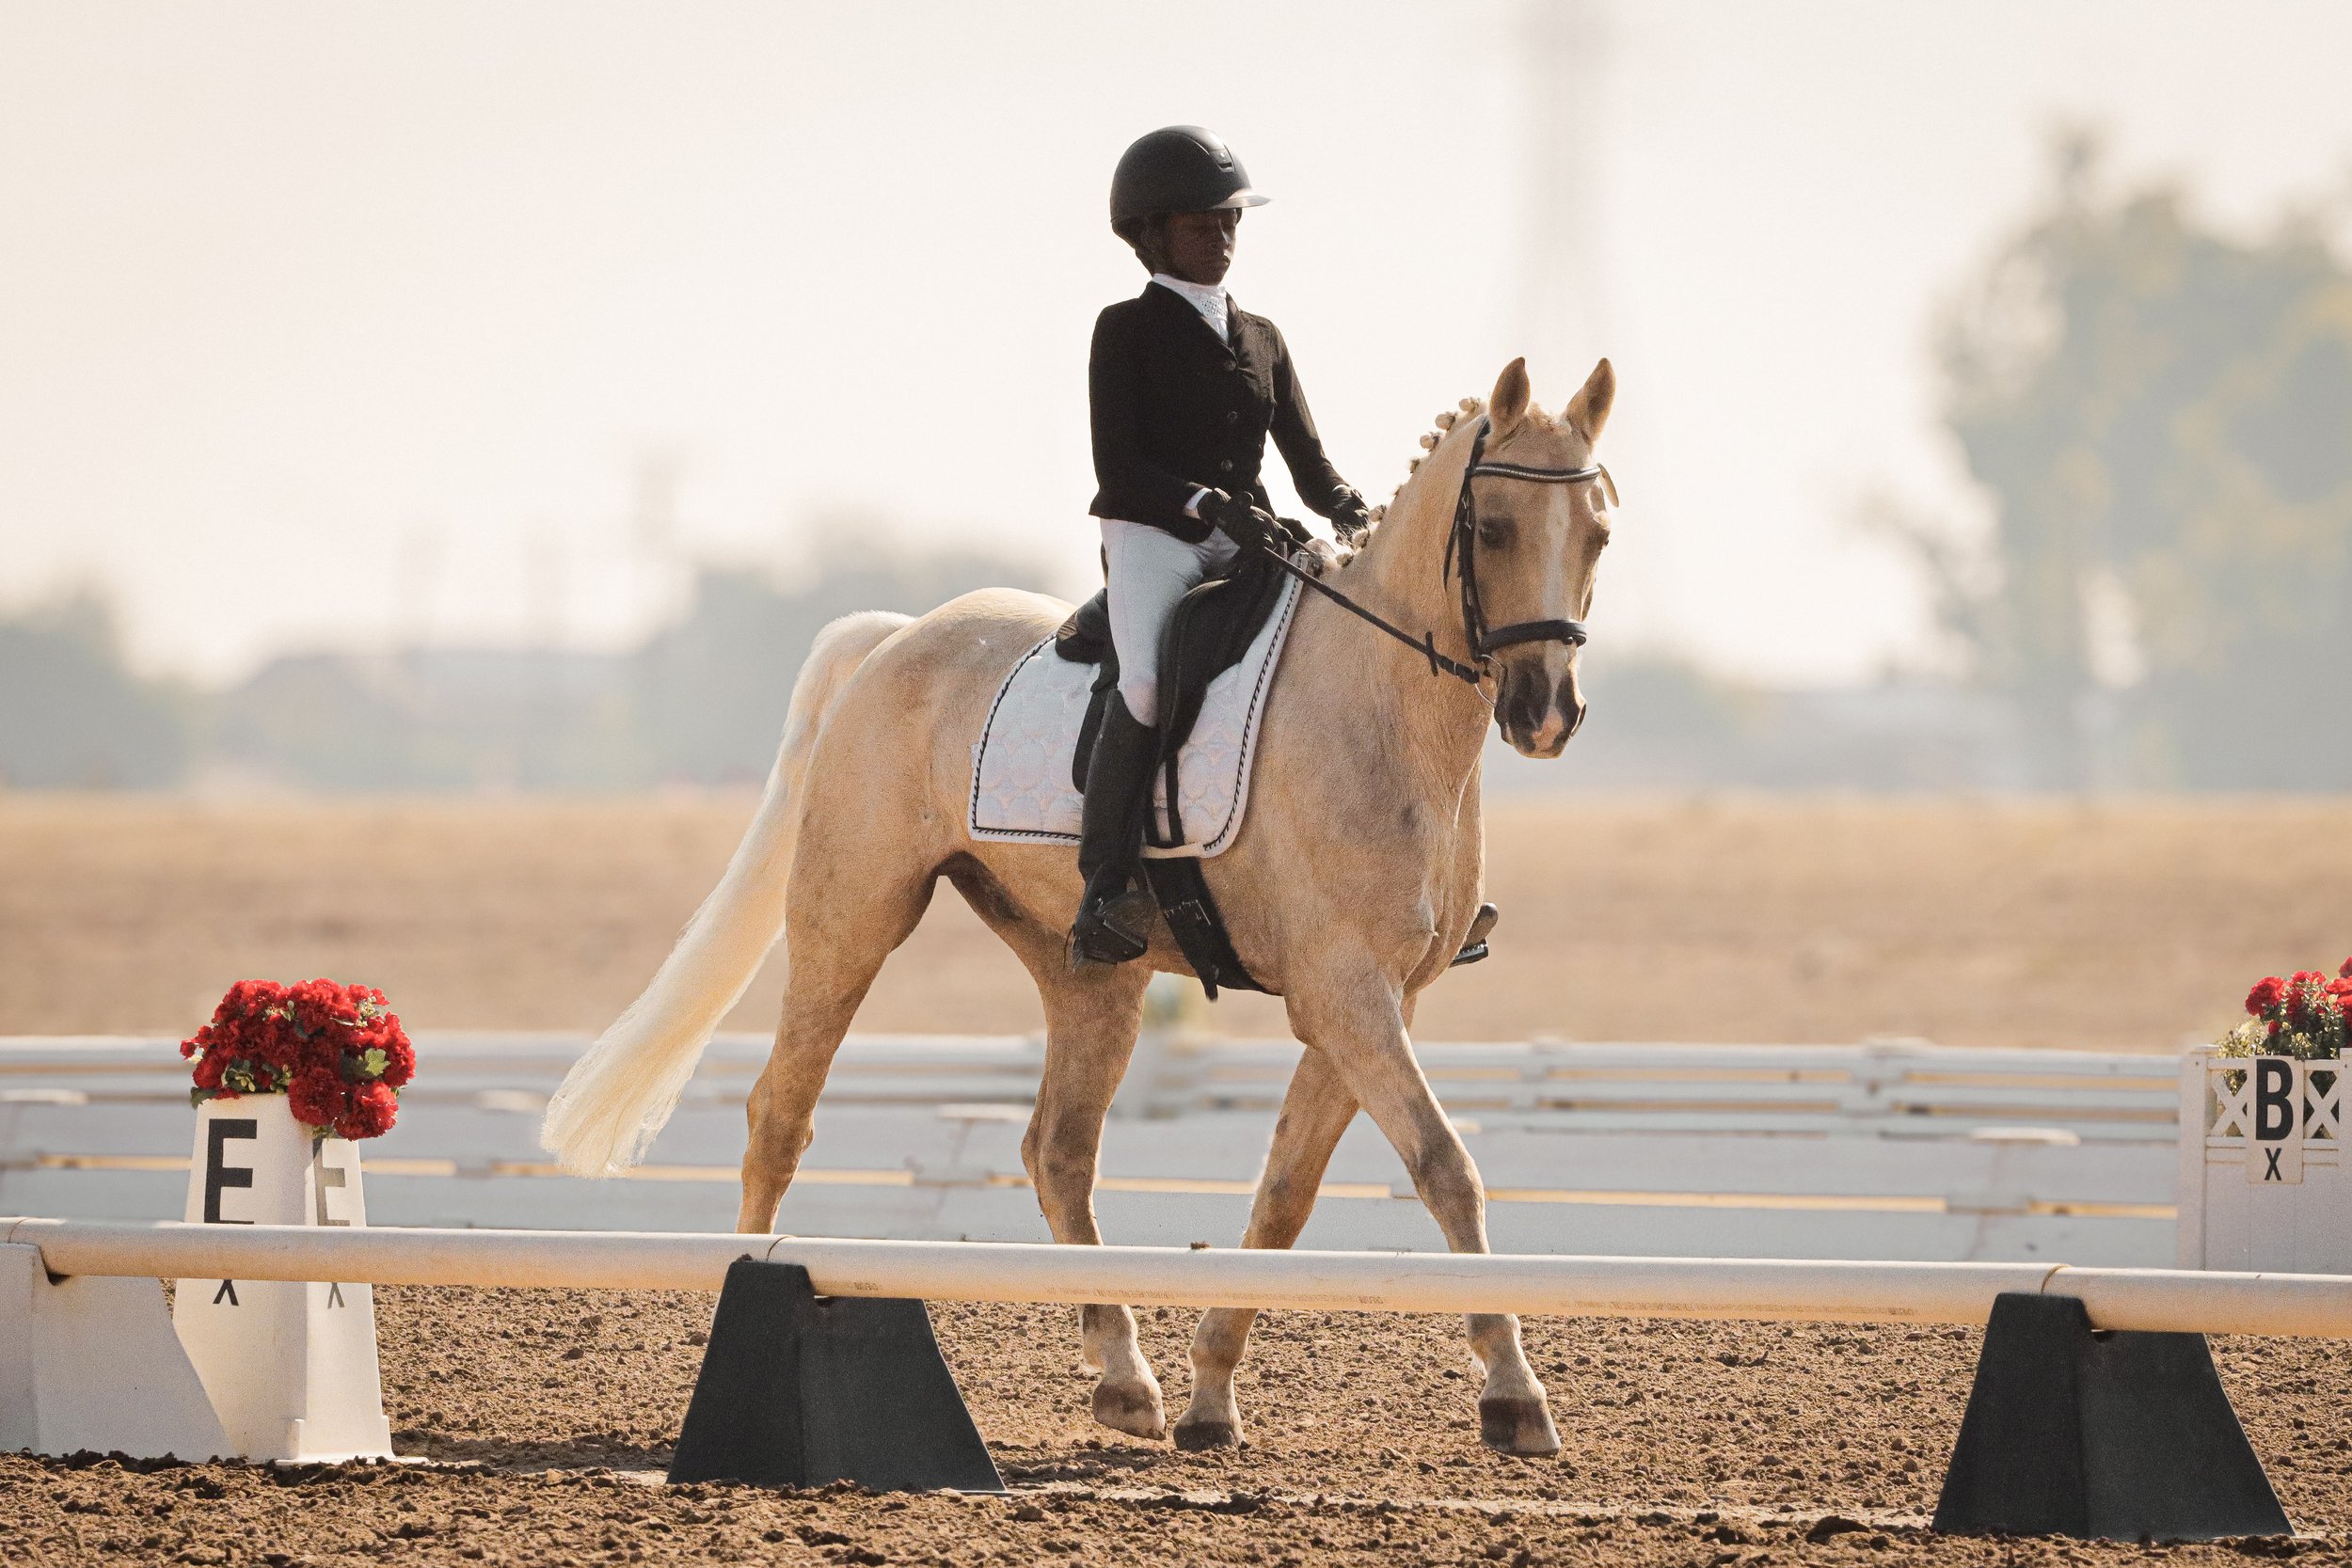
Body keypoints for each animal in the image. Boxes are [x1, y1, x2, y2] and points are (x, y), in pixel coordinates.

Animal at [541, 354, 1619, 1456]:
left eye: (1598, 533)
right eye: (1492, 528)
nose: (1545, 713)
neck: (1384, 705)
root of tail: (898, 637)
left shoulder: (1374, 999)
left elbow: (1285, 1191)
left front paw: (1210, 1395)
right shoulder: (1343, 992)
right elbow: (1445, 1165)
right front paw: (1515, 1395)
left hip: (1090, 968)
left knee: (1057, 1149)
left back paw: (1125, 1378)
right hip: (853, 918)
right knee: (781, 1114)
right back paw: (755, 1283)